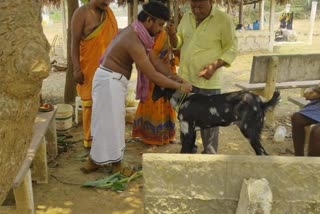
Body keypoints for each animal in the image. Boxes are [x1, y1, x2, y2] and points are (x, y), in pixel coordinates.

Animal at [152, 85, 280, 155]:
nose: (151, 97)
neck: (183, 99)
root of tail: (261, 103)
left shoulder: (187, 132)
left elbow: (184, 151)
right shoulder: (192, 133)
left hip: (249, 132)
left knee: (262, 153)